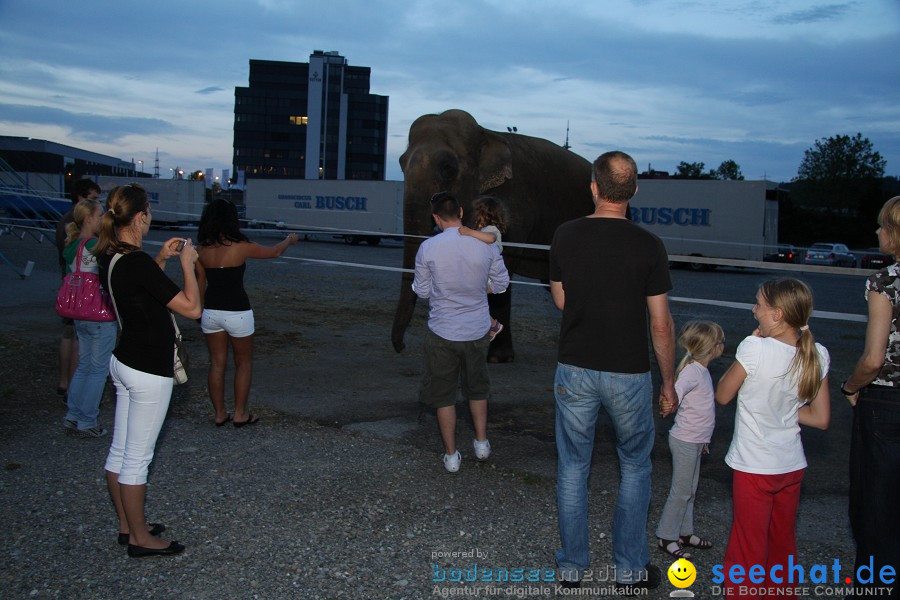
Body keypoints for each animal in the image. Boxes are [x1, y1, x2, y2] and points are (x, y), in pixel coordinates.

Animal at [390, 108, 596, 364]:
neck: (486, 132)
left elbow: (503, 264)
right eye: (401, 163)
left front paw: (498, 357)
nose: (401, 346)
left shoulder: (516, 204)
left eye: (447, 167)